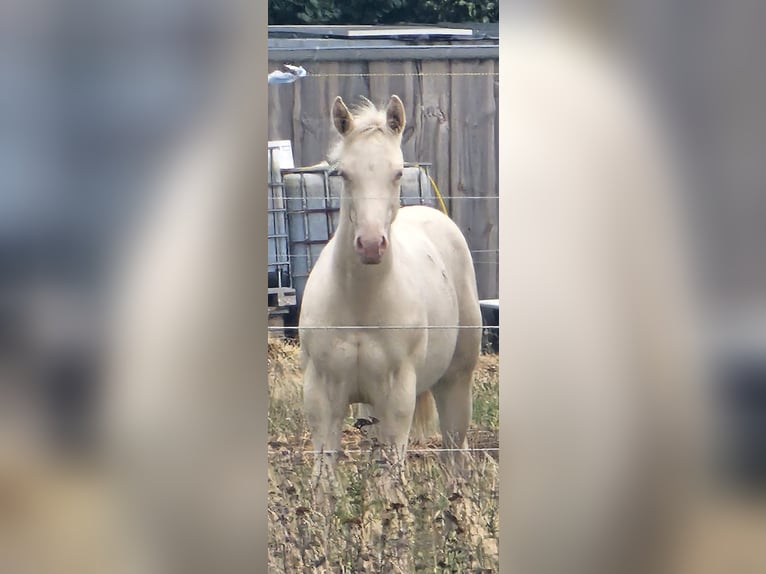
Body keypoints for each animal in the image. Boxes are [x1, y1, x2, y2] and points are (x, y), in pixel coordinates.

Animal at [298, 95, 482, 491]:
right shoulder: (322, 393)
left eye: (397, 173)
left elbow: (391, 482)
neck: (360, 308)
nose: (370, 245)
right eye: (343, 174)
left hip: (456, 383)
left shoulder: (398, 396)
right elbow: (323, 480)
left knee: (454, 455)